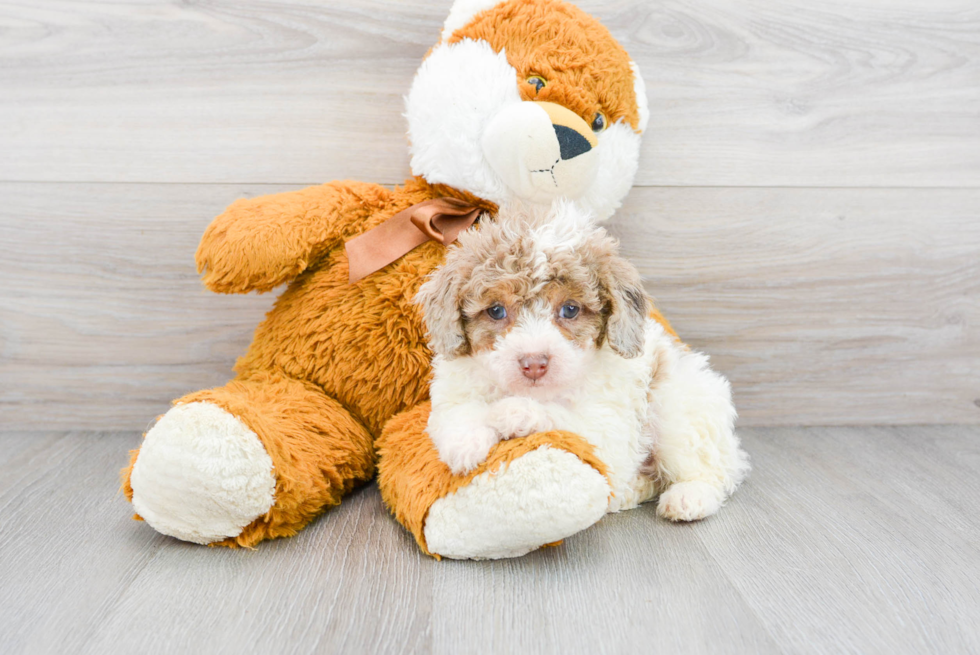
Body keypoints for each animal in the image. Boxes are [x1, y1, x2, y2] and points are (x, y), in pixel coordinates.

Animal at [416, 208, 752, 520]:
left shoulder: (609, 427)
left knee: (713, 470)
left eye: (570, 309)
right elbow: (457, 413)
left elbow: (566, 418)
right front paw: (466, 443)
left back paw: (690, 497)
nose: (534, 363)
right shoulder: (455, 390)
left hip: (680, 409)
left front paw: (516, 411)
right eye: (496, 311)